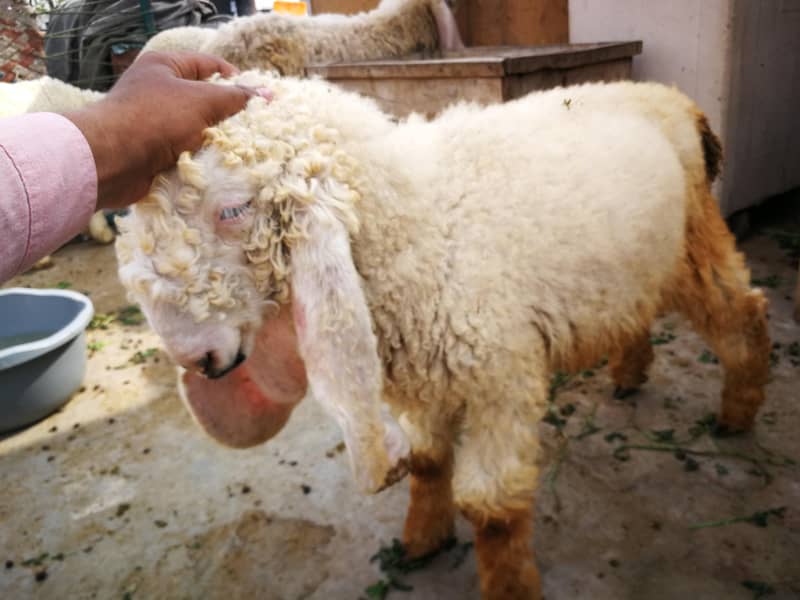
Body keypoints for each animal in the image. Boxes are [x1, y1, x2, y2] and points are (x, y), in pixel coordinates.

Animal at [114, 72, 770, 600]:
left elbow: (491, 507)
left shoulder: (502, 380)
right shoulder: (425, 382)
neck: (422, 226)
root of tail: (678, 100)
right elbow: (429, 463)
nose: (196, 357)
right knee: (638, 312)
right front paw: (421, 542)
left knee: (742, 310)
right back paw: (630, 375)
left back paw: (738, 413)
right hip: (635, 264)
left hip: (694, 240)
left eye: (232, 210)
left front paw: (510, 588)